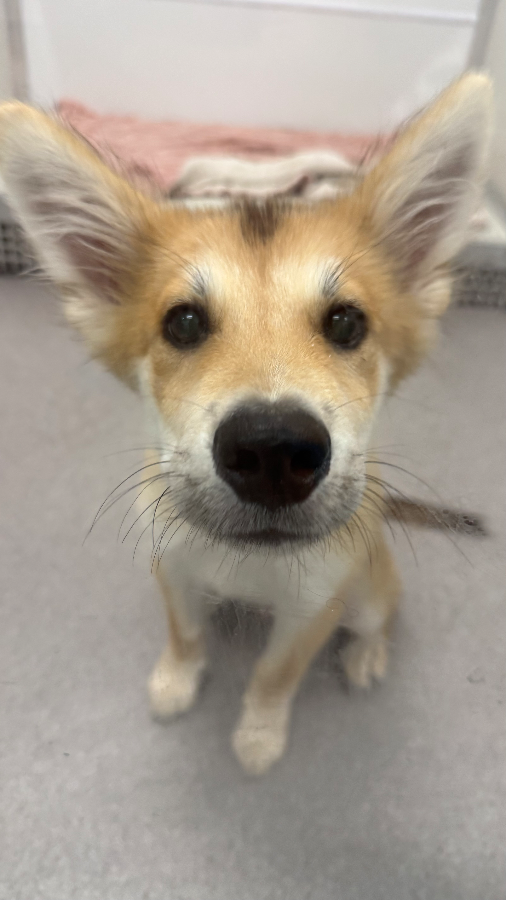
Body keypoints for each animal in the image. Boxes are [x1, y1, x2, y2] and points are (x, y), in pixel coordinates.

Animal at [0, 73, 492, 774]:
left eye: (347, 323)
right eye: (182, 322)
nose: (273, 451)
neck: (246, 565)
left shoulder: (314, 610)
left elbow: (273, 676)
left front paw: (258, 735)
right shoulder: (173, 571)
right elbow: (184, 637)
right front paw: (176, 682)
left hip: (372, 586)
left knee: (381, 618)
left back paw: (366, 654)